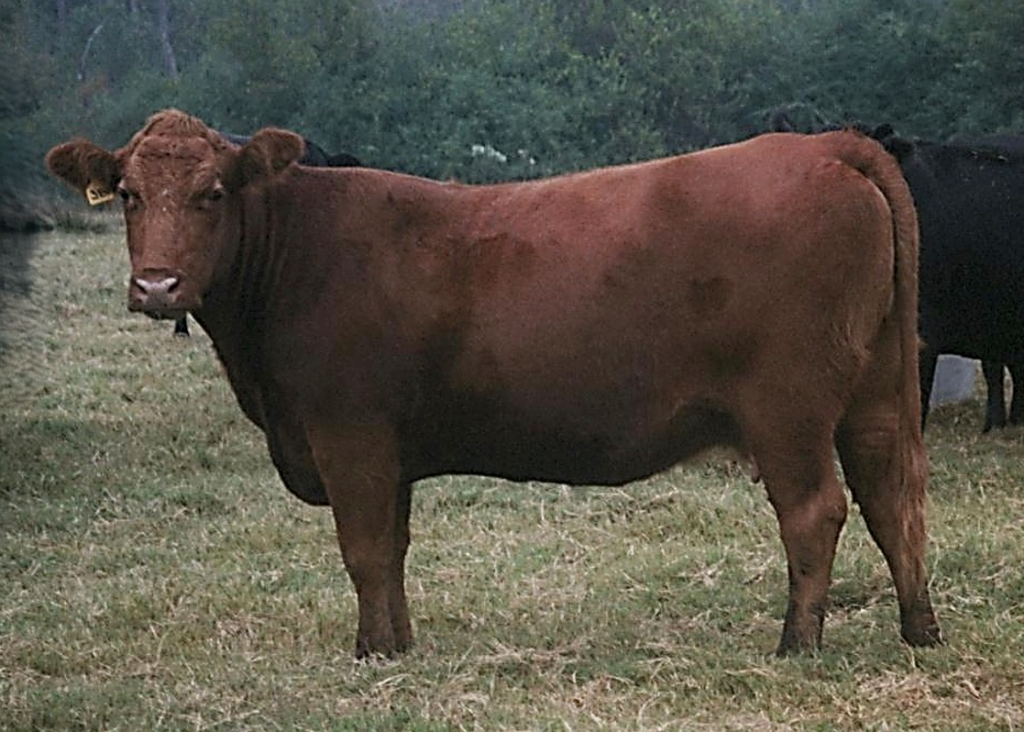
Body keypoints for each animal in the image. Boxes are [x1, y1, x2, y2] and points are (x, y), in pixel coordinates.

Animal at [46, 109, 942, 659]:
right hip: (872, 393)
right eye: (127, 193)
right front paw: (399, 645)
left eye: (213, 192)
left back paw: (797, 645)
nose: (157, 286)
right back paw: (918, 627)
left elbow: (363, 548)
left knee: (816, 511)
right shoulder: (388, 449)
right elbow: (393, 548)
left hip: (786, 407)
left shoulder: (348, 432)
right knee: (892, 497)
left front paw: (372, 655)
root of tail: (827, 144)